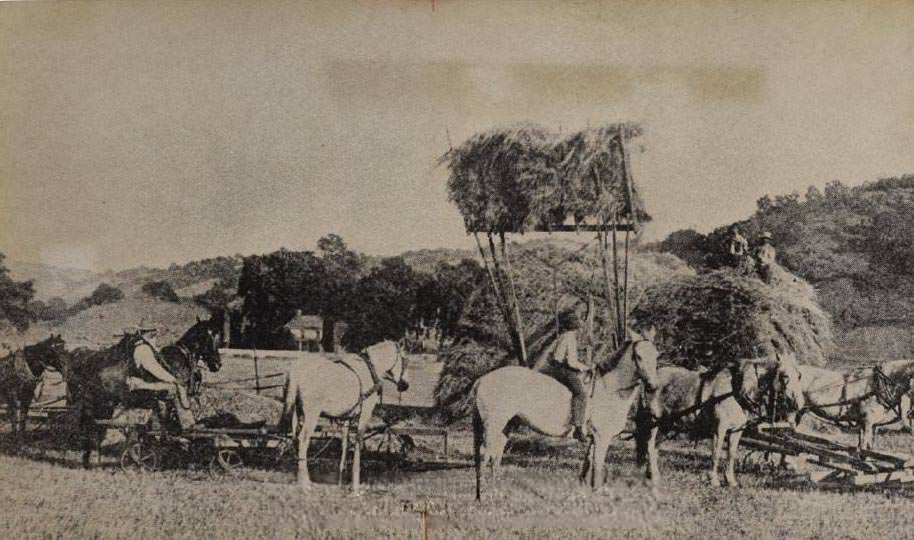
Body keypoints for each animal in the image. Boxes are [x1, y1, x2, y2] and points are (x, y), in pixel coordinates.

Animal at [64, 318, 223, 466]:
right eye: (208, 337)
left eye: (217, 336)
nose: (217, 364)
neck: (180, 359)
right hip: (104, 404)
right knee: (95, 426)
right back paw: (94, 458)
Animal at [278, 344, 406, 492]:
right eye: (405, 359)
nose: (405, 385)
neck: (370, 369)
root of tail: (297, 369)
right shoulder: (365, 413)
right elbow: (358, 441)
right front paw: (355, 484)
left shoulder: (347, 418)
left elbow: (345, 443)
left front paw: (341, 477)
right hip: (311, 414)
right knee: (303, 440)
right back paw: (305, 483)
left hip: (296, 412)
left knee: (294, 438)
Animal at [470, 338, 656, 502]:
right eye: (639, 356)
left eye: (656, 357)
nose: (652, 385)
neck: (609, 389)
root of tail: (481, 380)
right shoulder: (602, 437)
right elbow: (598, 464)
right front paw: (597, 493)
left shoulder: (593, 439)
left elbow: (588, 463)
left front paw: (585, 491)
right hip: (493, 427)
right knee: (486, 456)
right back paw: (484, 495)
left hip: (505, 428)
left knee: (495, 459)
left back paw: (495, 492)